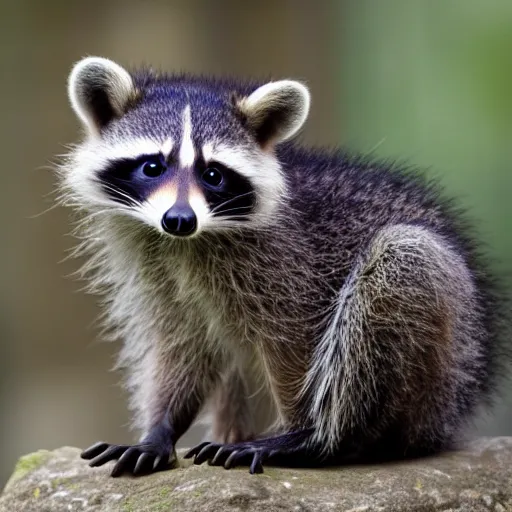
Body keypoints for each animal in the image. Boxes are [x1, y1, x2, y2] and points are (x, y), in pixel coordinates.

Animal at [58, 56, 506, 476]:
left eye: (213, 174)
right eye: (153, 166)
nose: (179, 219)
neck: (187, 242)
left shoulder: (289, 266)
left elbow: (297, 347)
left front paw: (301, 428)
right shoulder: (154, 267)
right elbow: (181, 343)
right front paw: (160, 429)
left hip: (441, 361)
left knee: (403, 261)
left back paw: (325, 441)